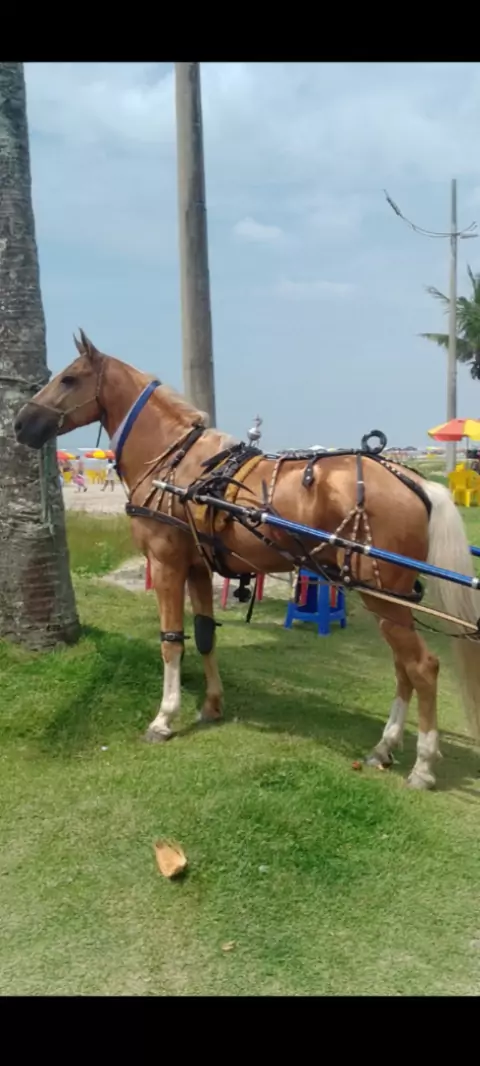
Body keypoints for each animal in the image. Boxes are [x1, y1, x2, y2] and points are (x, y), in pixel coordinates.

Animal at [14, 330, 480, 790]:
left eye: (69, 379)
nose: (20, 423)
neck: (175, 464)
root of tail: (416, 482)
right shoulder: (198, 567)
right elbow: (205, 636)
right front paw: (212, 705)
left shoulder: (166, 565)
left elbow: (171, 641)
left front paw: (164, 718)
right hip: (388, 600)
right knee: (403, 668)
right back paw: (385, 747)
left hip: (382, 595)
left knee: (423, 667)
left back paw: (423, 765)